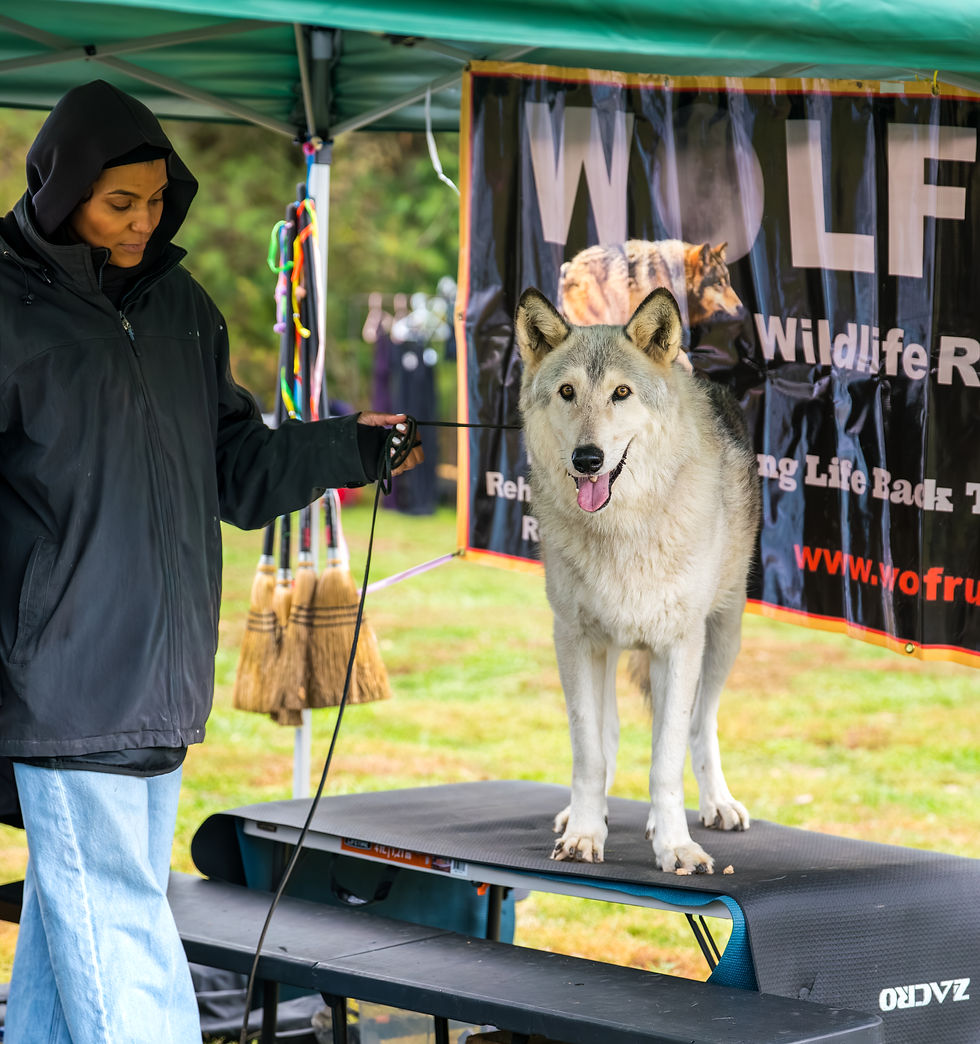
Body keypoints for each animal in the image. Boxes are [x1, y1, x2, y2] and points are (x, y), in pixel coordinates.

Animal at [515, 286, 760, 873]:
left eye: (621, 393)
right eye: (567, 392)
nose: (587, 459)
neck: (623, 529)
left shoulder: (678, 644)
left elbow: (666, 760)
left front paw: (675, 846)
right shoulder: (576, 640)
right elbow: (589, 752)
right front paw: (584, 833)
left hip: (723, 635)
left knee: (699, 724)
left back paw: (716, 805)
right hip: (606, 652)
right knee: (609, 735)